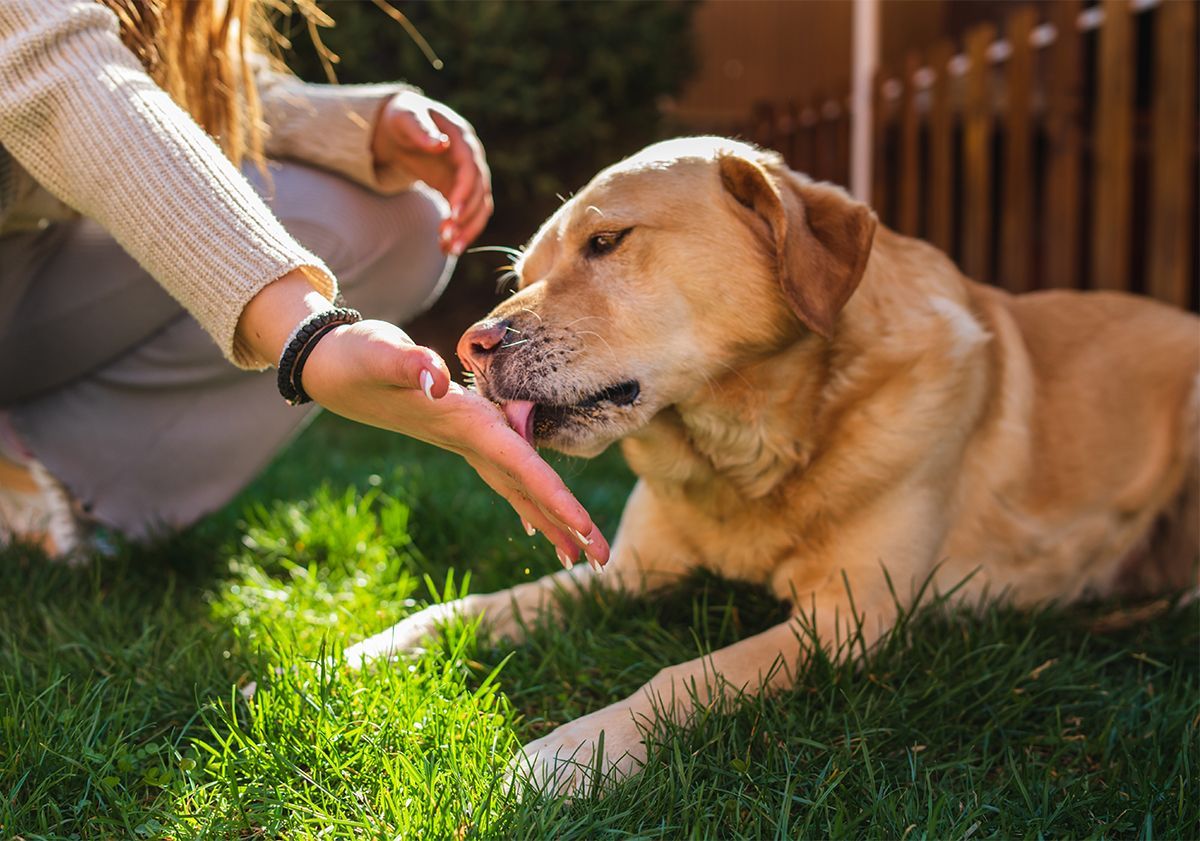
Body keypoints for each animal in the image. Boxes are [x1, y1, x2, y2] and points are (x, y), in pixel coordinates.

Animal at [348, 136, 1200, 791]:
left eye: (607, 241)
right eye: (522, 277)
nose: (470, 348)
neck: (743, 456)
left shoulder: (849, 619)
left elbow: (689, 673)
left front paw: (574, 750)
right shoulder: (631, 572)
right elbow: (479, 604)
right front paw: (366, 648)